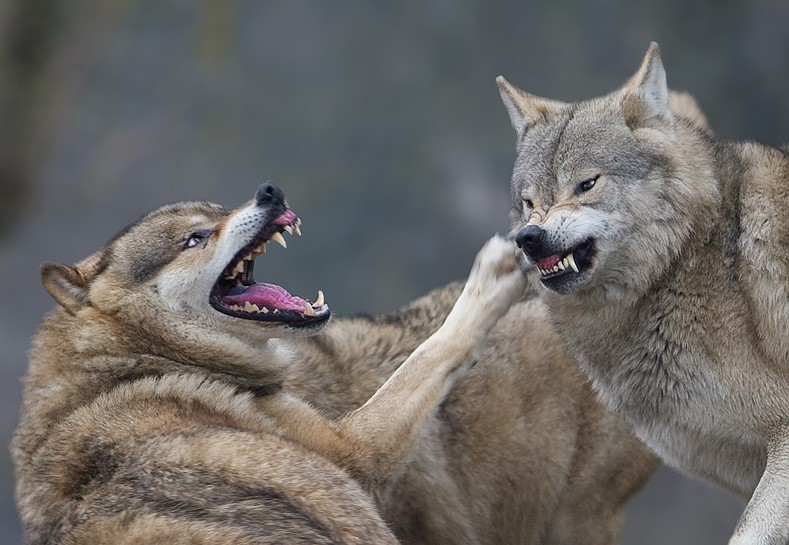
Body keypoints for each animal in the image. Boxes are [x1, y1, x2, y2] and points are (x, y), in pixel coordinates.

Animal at [13, 184, 652, 544]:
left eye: (220, 210)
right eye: (195, 238)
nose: (269, 192)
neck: (137, 363)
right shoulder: (355, 452)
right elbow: (432, 350)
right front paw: (492, 276)